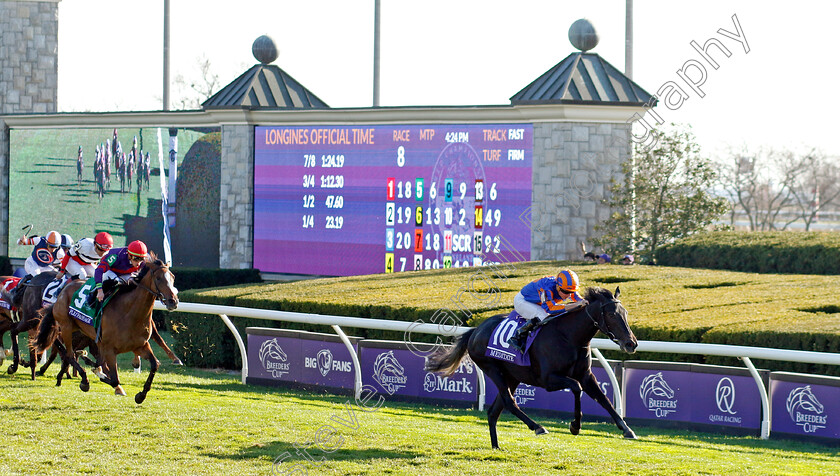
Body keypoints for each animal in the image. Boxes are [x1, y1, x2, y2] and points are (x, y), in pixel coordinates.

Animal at [34, 253, 177, 402]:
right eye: (158, 278)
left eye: (172, 277)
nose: (173, 301)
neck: (129, 313)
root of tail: (62, 291)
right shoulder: (109, 349)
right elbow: (114, 379)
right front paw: (98, 373)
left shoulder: (140, 345)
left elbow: (155, 364)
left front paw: (141, 395)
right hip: (66, 326)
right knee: (69, 354)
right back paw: (84, 379)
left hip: (79, 329)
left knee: (65, 348)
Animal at [426, 286, 636, 450]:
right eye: (611, 314)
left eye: (625, 313)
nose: (631, 343)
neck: (568, 337)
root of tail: (475, 331)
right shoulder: (548, 380)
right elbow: (577, 388)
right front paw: (575, 426)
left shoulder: (586, 375)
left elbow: (604, 400)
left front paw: (627, 429)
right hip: (492, 369)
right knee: (509, 402)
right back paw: (538, 427)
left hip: (512, 377)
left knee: (494, 411)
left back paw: (496, 447)